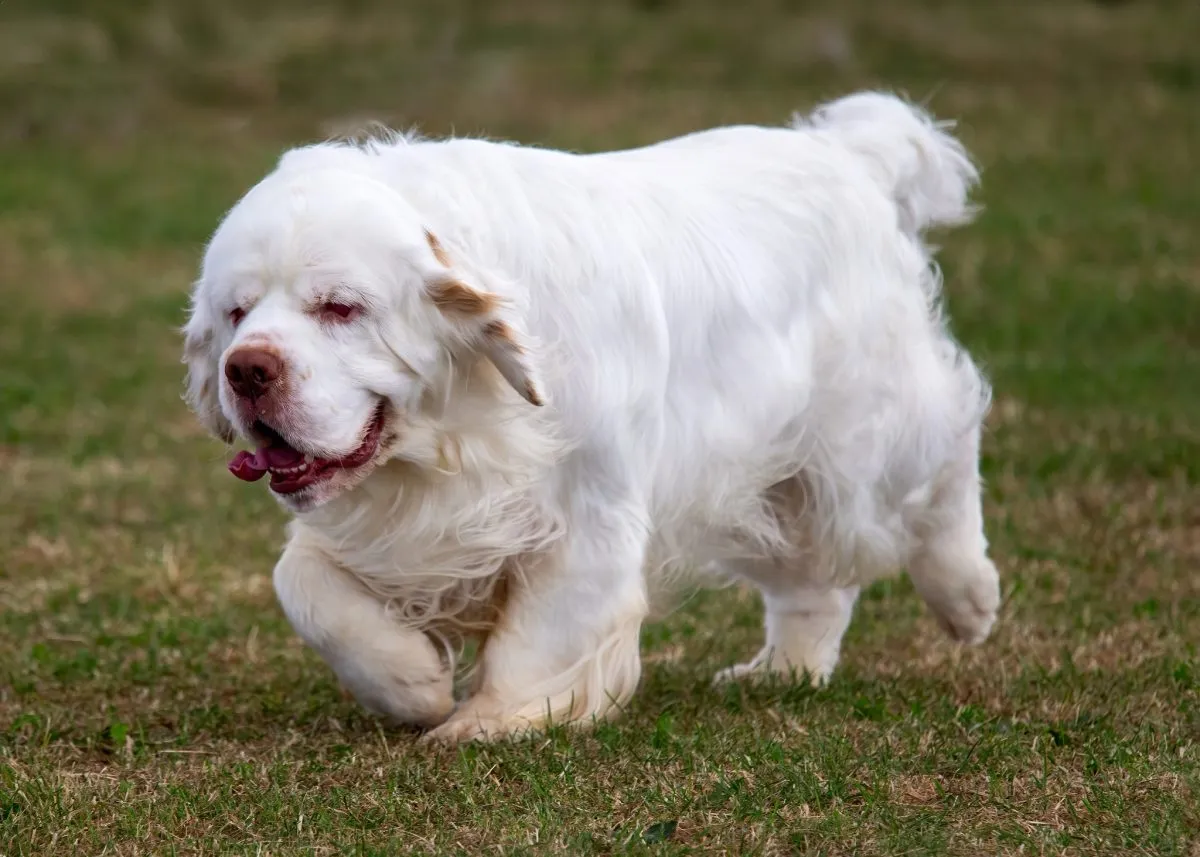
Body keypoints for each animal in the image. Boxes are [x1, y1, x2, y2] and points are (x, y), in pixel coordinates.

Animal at [180, 90, 1003, 739]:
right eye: (236, 311)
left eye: (340, 307)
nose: (247, 369)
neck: (456, 431)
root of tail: (846, 154)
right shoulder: (380, 525)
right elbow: (303, 585)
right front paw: (412, 683)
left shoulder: (586, 509)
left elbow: (545, 631)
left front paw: (491, 720)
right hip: (766, 473)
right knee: (812, 578)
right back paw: (782, 671)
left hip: (863, 437)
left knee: (948, 454)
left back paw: (968, 597)